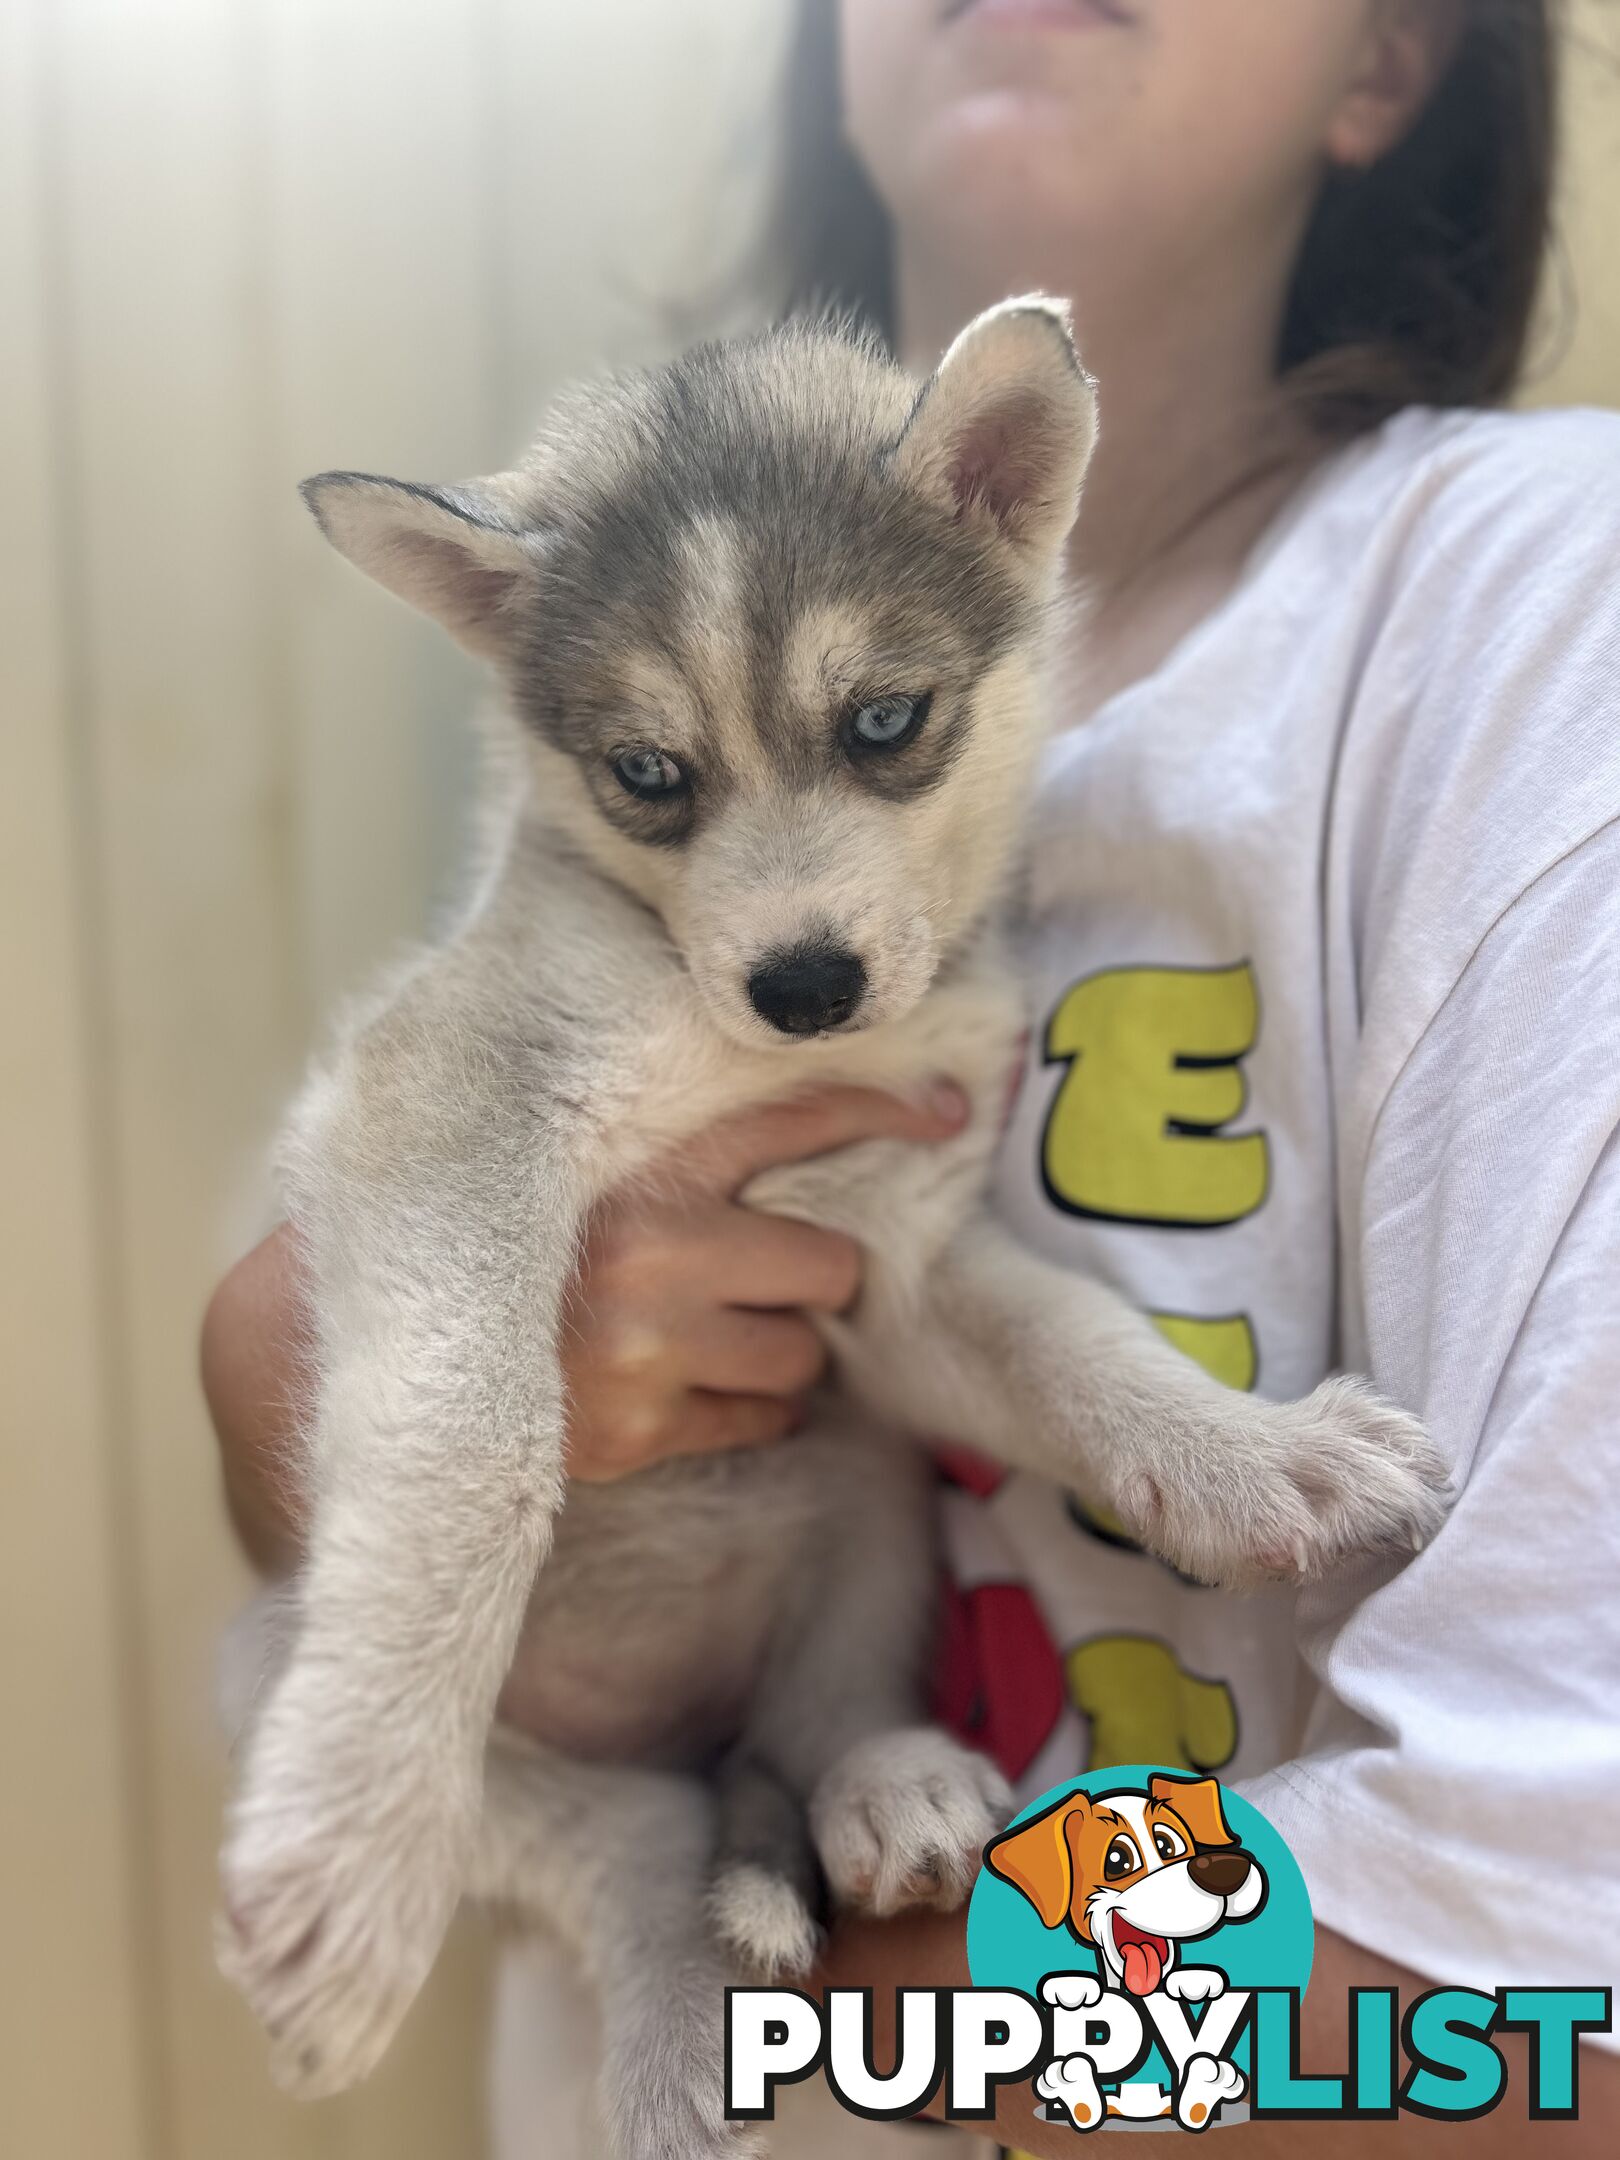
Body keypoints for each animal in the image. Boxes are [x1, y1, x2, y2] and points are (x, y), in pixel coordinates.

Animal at [216, 304, 1442, 2160]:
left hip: (863, 1503)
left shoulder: (889, 1259)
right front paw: (357, 1830)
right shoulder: (448, 1106)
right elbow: (474, 1444)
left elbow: (1071, 1341)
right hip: (266, 1659)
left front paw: (1256, 1457)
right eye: (650, 775)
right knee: (636, 1836)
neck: (750, 1055)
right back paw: (659, 2035)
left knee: (792, 1738)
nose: (804, 984)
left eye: (883, 721)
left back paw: (894, 1793)